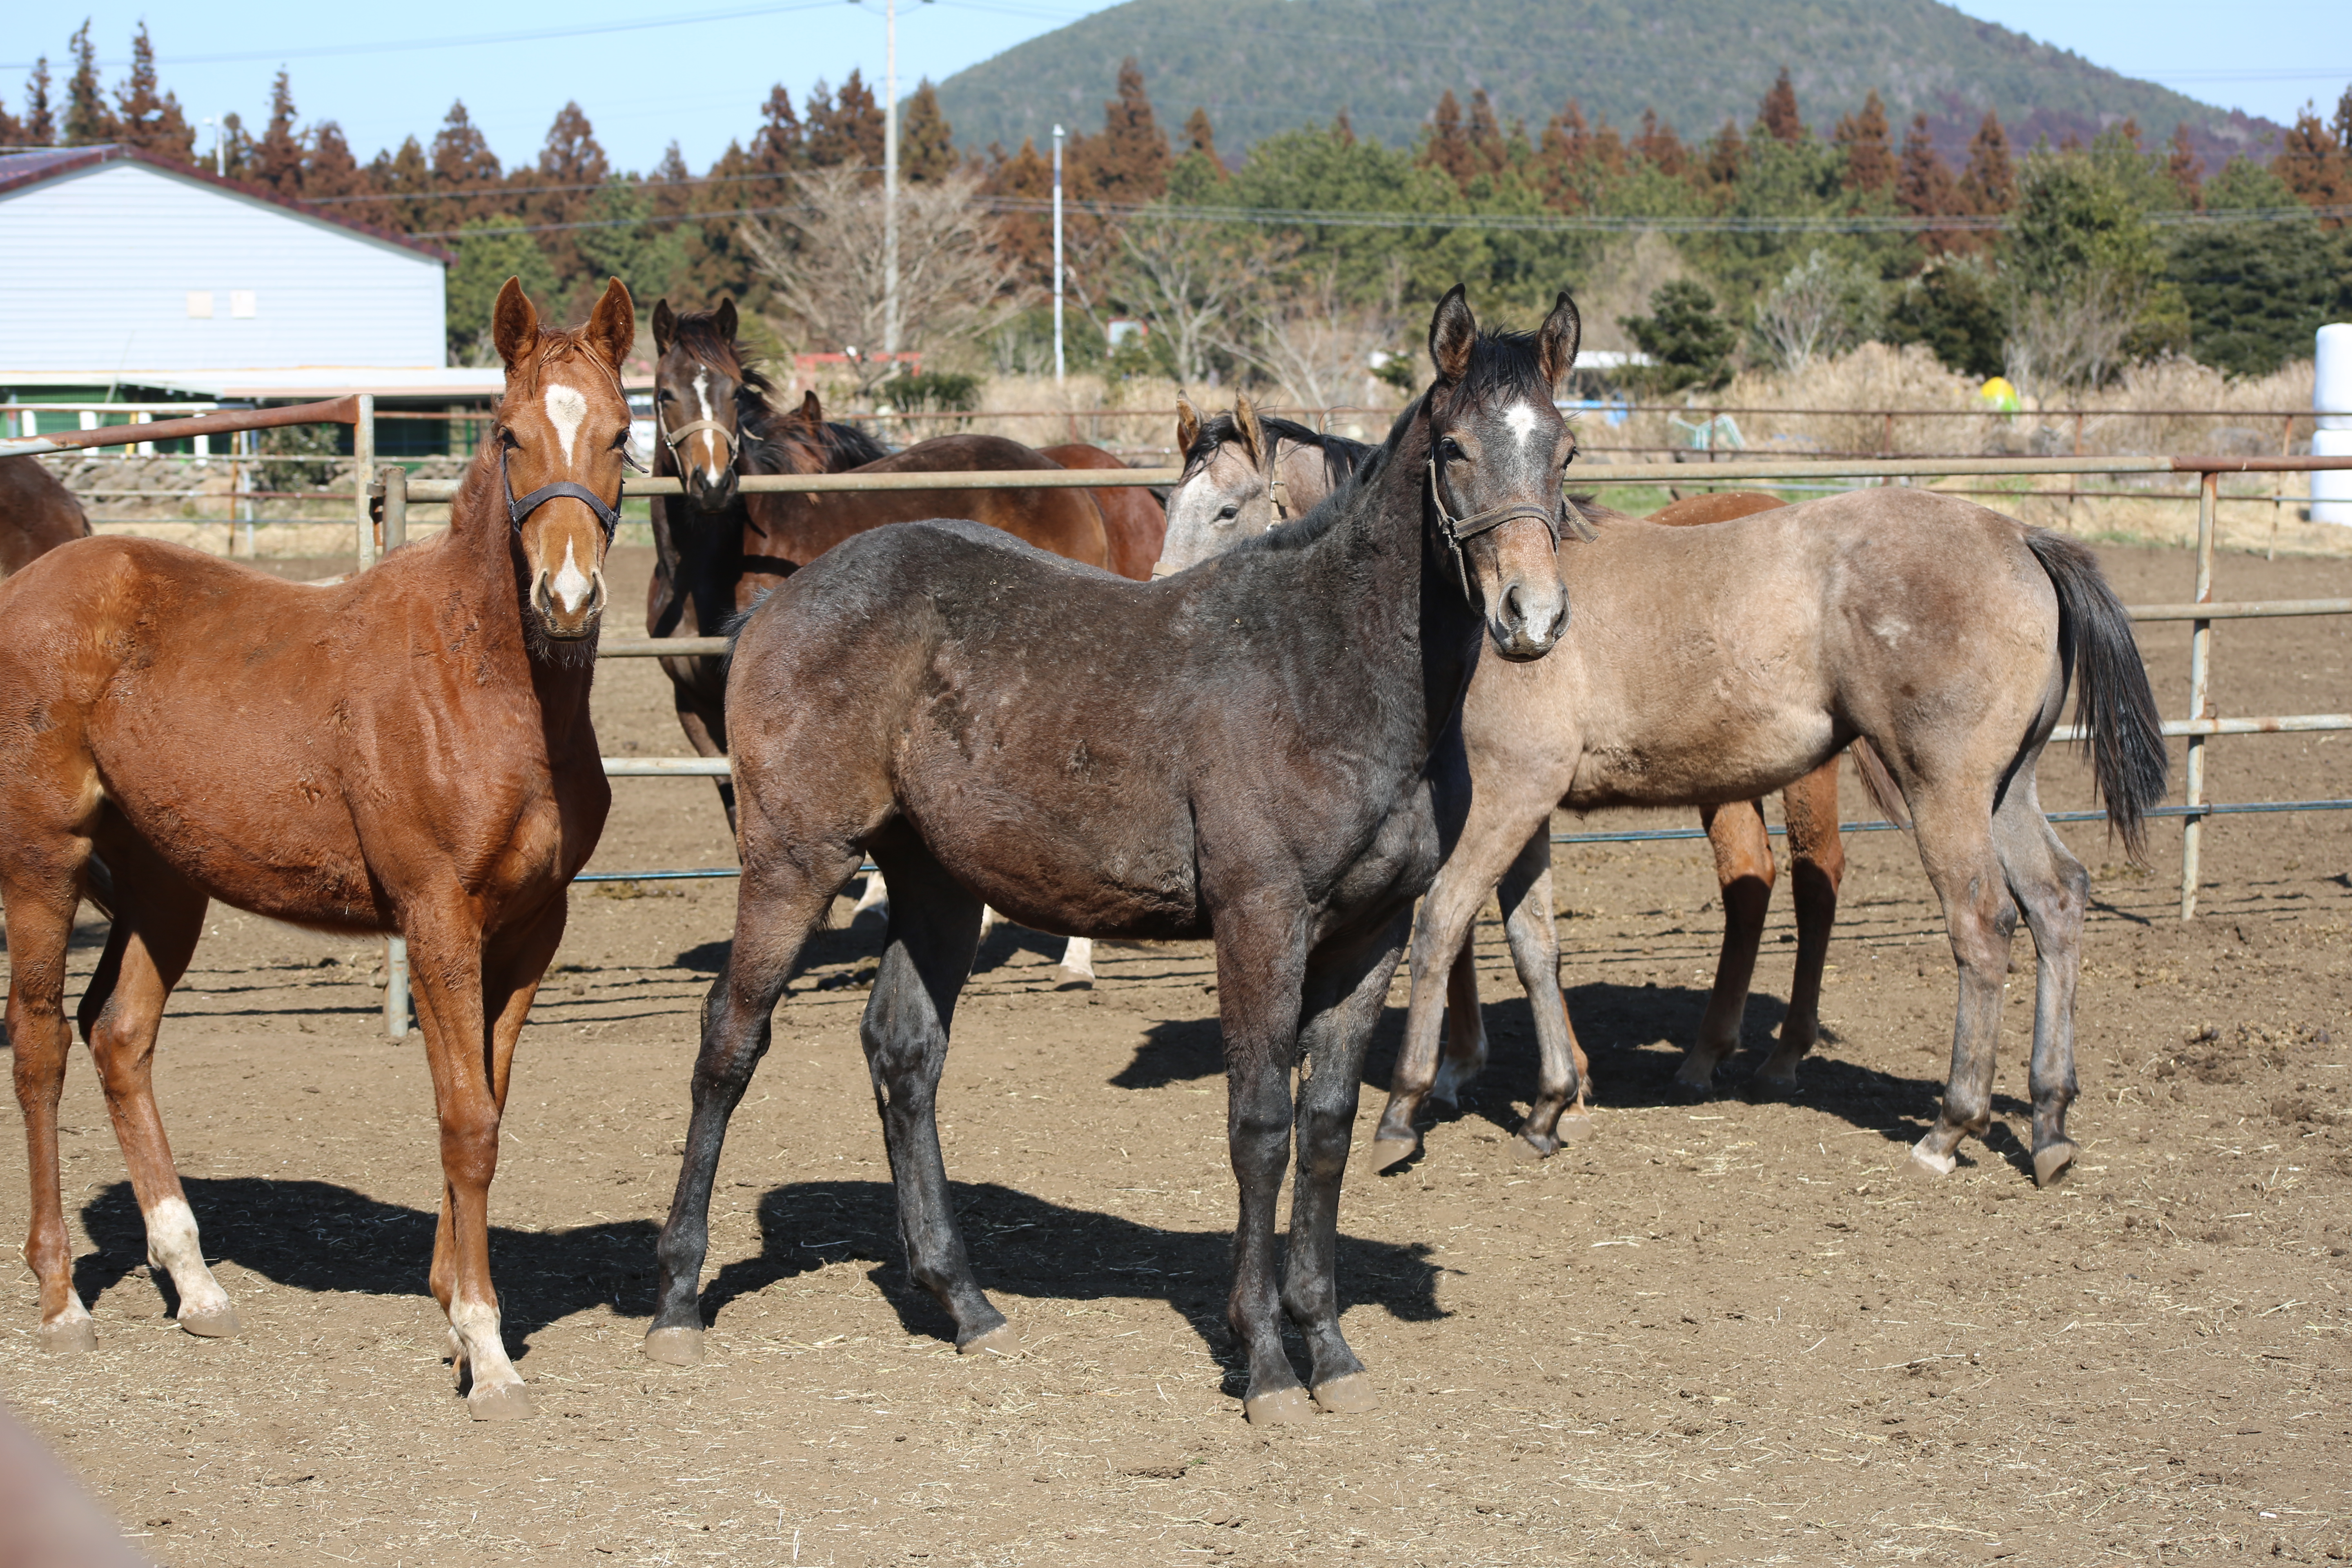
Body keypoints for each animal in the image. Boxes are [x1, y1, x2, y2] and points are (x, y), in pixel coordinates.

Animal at [0, 276, 635, 1420]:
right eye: (511, 437)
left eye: (620, 435)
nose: (566, 600)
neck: (484, 682)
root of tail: (31, 585)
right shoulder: (436, 917)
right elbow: (465, 1119)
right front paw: (485, 1347)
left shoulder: (532, 927)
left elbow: (488, 1102)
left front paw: (451, 1307)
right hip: (42, 859)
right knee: (37, 1047)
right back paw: (62, 1299)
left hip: (168, 883)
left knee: (118, 1036)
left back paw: (197, 1285)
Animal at [654, 288, 1590, 1429]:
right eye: (1453, 450)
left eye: (1564, 448)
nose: (1530, 617)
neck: (1328, 667)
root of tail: (774, 608)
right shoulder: (1259, 919)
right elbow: (1259, 1125)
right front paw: (1265, 1365)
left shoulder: (1368, 934)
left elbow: (1325, 1128)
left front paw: (1328, 1347)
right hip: (795, 859)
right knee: (729, 1042)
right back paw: (677, 1299)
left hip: (933, 881)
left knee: (903, 1051)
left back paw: (964, 1302)